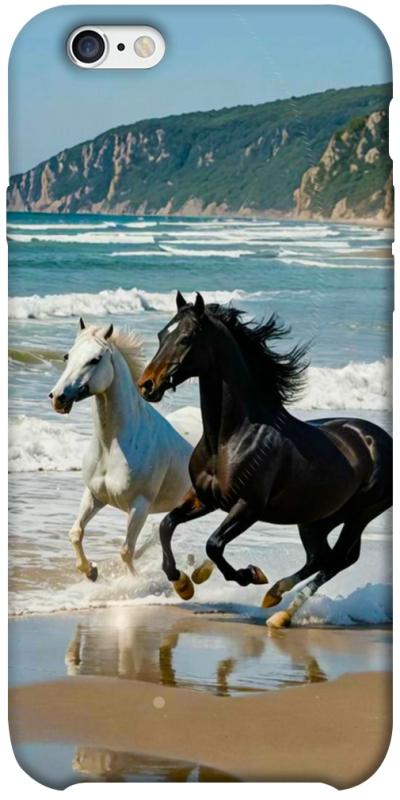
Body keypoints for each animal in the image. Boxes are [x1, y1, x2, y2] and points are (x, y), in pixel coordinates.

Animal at [49, 318, 192, 581]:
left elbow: (126, 551)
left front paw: (134, 583)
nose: (58, 398)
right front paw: (91, 571)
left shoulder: (139, 506)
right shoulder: (94, 495)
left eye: (95, 359)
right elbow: (76, 533)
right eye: (67, 356)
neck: (112, 445)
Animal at [138, 292, 392, 627]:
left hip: (360, 514)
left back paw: (280, 611)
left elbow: (214, 544)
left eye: (187, 337)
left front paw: (249, 575)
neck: (230, 438)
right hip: (317, 518)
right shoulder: (205, 498)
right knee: (321, 557)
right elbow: (167, 525)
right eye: (161, 334)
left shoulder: (249, 507)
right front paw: (183, 584)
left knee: (337, 559)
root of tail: (382, 440)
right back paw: (274, 597)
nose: (147, 385)